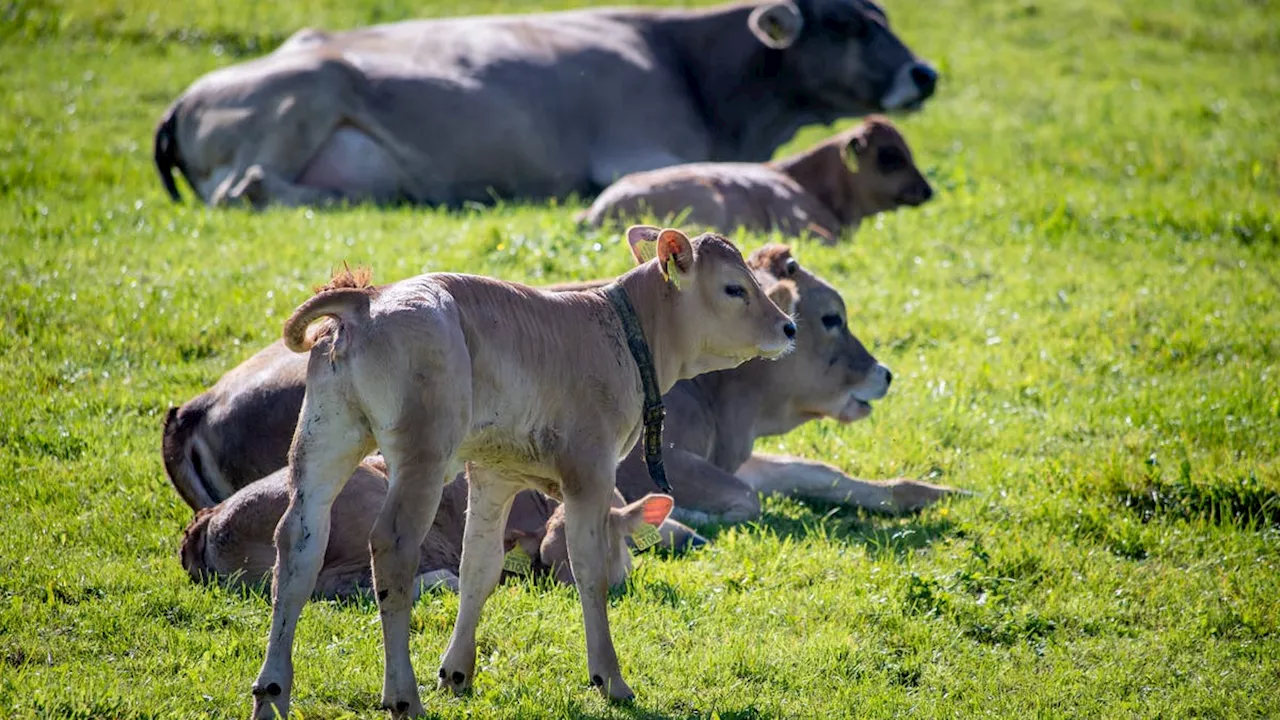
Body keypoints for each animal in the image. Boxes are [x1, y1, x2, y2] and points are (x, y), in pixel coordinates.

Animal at [154, 1, 942, 207]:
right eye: (847, 23)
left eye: (883, 12)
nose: (925, 73)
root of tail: (185, 96)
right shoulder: (641, 151)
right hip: (307, 92)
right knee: (250, 188)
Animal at [244, 226, 793, 712]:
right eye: (735, 287)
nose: (789, 326)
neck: (621, 333)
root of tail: (370, 299)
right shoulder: (589, 473)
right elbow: (590, 569)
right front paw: (610, 679)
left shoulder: (495, 472)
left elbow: (480, 566)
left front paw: (456, 673)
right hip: (423, 452)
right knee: (393, 548)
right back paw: (403, 697)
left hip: (324, 438)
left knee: (299, 542)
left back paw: (272, 694)